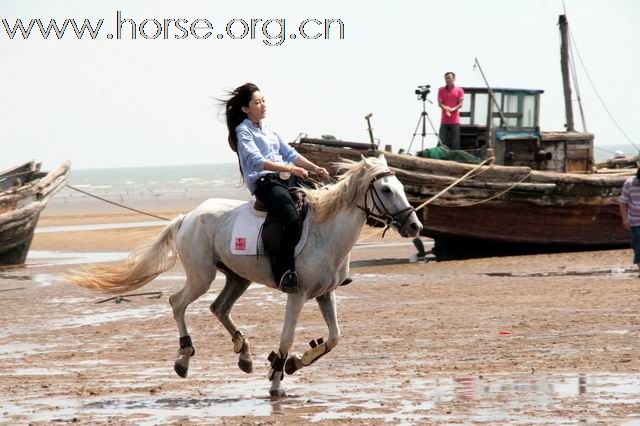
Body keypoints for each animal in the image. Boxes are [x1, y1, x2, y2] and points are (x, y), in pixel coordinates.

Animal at [67, 155, 422, 398]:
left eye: (402, 187)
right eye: (386, 189)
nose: (414, 226)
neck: (327, 232)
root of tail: (188, 217)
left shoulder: (325, 293)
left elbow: (334, 337)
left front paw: (294, 362)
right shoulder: (297, 294)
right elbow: (286, 338)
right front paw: (278, 380)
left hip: (237, 278)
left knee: (219, 308)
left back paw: (244, 354)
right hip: (201, 276)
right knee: (177, 302)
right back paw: (183, 359)